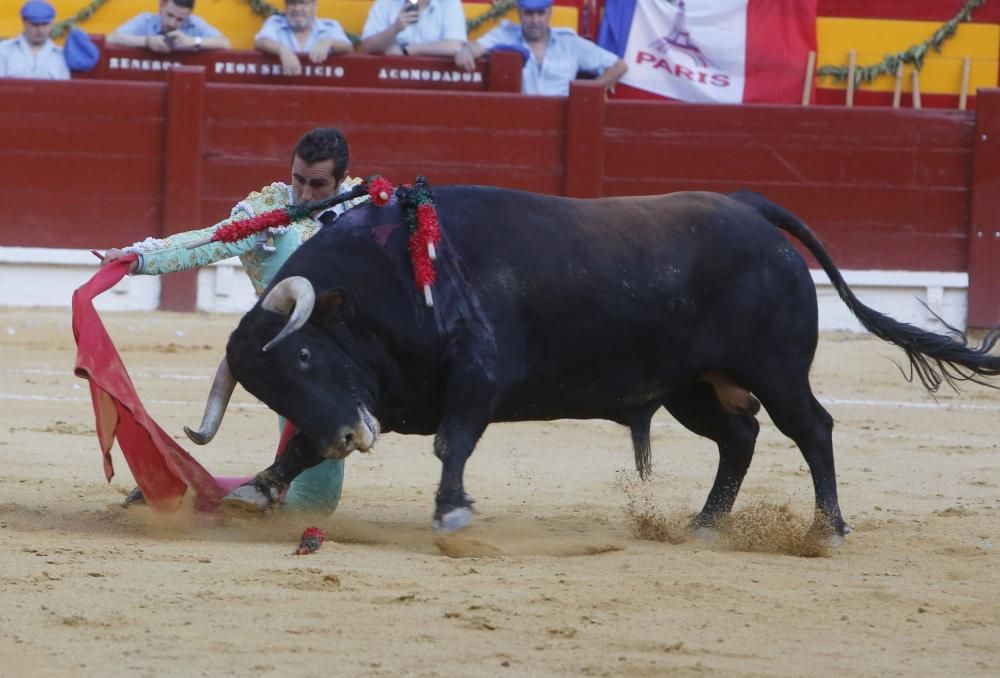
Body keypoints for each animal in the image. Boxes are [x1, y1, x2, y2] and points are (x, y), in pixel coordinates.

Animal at [186, 189, 1000, 540]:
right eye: (268, 385)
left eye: (303, 354)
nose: (350, 439)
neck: (399, 277)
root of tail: (750, 210)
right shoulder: (386, 393)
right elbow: (298, 447)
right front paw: (258, 489)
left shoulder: (478, 380)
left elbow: (454, 443)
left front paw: (452, 509)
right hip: (691, 387)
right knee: (741, 438)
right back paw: (704, 523)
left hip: (775, 369)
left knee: (813, 429)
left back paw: (828, 528)